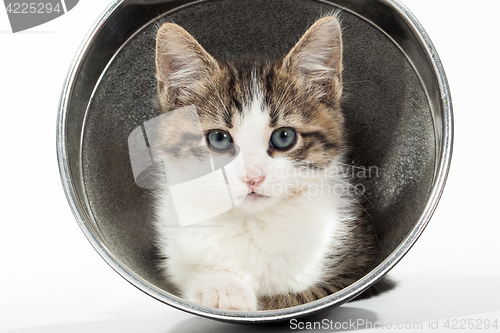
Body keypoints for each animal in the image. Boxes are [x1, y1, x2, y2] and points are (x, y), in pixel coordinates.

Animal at [151, 16, 378, 312]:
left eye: (284, 137)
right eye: (218, 138)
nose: (253, 178)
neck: (252, 223)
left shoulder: (354, 266)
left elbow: (296, 296)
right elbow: (185, 272)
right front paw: (222, 289)